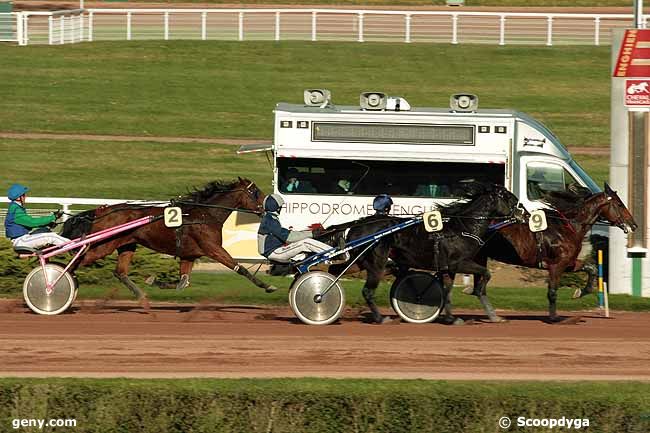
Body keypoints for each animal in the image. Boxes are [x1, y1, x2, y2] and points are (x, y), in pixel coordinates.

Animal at [60, 177, 274, 302]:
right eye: (255, 192)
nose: (270, 206)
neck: (204, 215)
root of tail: (100, 210)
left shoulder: (189, 254)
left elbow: (182, 283)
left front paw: (154, 281)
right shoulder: (213, 248)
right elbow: (241, 268)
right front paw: (267, 286)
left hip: (127, 244)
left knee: (120, 272)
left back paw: (140, 295)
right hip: (104, 245)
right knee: (77, 260)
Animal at [326, 182, 520, 324]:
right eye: (507, 196)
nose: (520, 208)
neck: (462, 229)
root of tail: (357, 226)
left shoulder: (447, 268)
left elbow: (447, 291)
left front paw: (451, 318)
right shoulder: (460, 263)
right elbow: (486, 273)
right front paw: (477, 291)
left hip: (360, 261)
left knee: (335, 271)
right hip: (376, 263)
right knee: (367, 291)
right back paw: (380, 318)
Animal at [468, 182, 636, 320]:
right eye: (620, 204)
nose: (633, 225)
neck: (568, 227)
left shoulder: (568, 263)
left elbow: (592, 269)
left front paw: (580, 292)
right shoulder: (557, 265)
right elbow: (552, 292)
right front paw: (554, 317)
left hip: (480, 257)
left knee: (479, 289)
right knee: (478, 288)